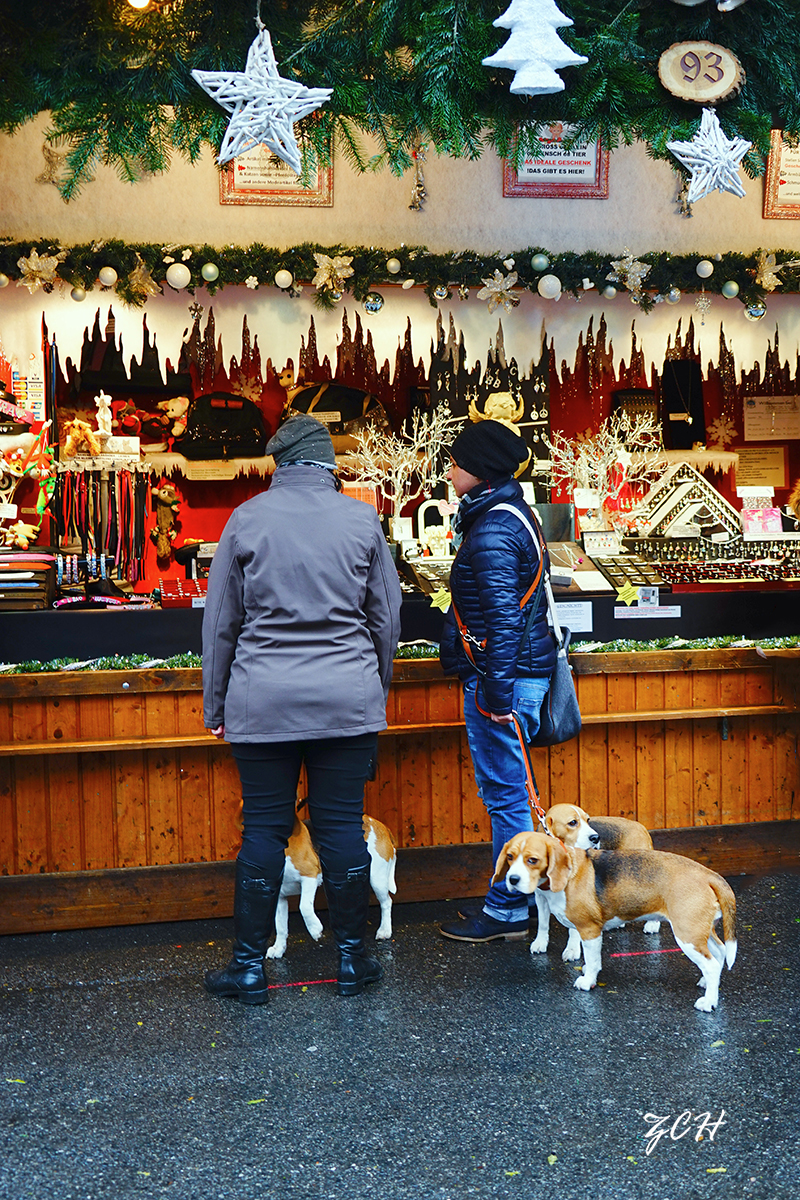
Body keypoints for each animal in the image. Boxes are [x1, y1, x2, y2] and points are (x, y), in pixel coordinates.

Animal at [267, 811, 395, 960]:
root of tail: (379, 824)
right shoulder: (280, 897)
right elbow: (280, 926)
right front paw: (279, 948)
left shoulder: (310, 875)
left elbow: (304, 906)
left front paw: (315, 929)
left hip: (377, 879)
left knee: (386, 902)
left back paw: (384, 930)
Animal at [494, 835, 738, 1012]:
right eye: (510, 856)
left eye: (532, 860)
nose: (512, 880)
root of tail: (708, 874)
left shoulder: (589, 929)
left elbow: (593, 960)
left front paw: (588, 981)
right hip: (701, 931)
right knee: (720, 953)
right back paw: (708, 984)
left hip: (687, 935)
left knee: (712, 964)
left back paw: (709, 1002)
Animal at [537, 806, 662, 955]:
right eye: (572, 822)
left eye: (588, 820)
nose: (596, 838)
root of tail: (640, 826)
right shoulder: (540, 897)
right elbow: (542, 924)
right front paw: (539, 943)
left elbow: (574, 929)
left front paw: (572, 949)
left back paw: (653, 925)